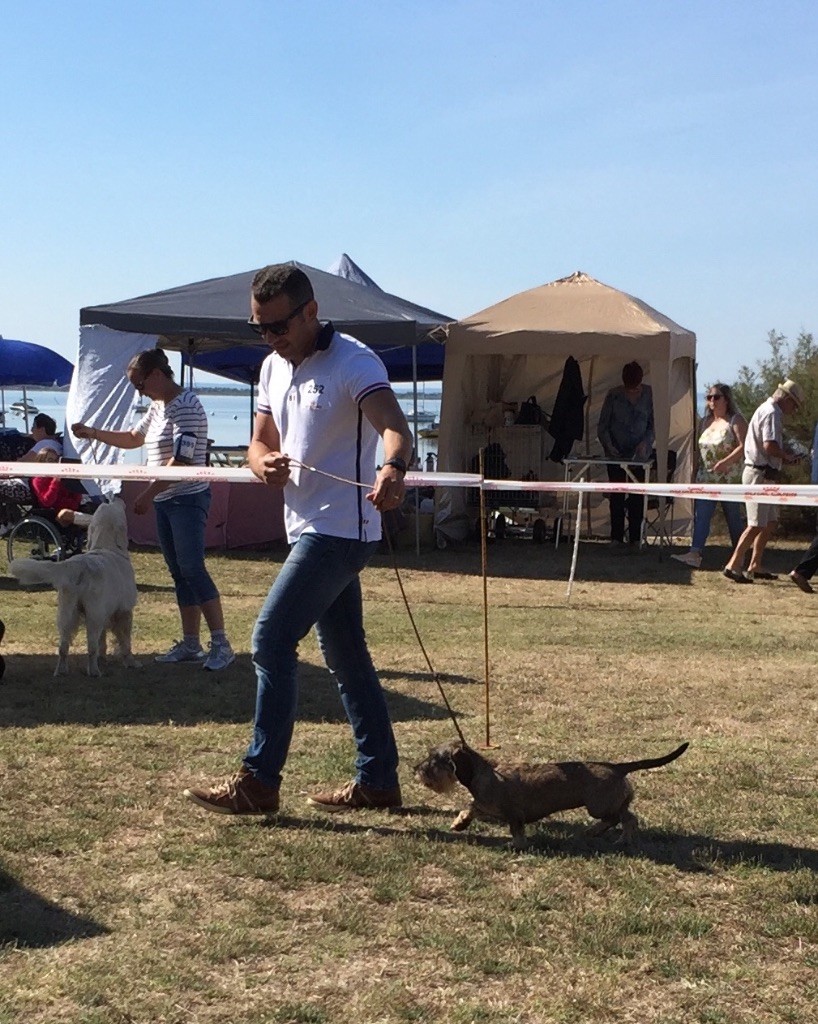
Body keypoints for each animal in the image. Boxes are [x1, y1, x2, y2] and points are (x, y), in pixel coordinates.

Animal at [9, 497, 139, 675]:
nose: (115, 497)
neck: (106, 546)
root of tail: (78, 565)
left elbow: (103, 640)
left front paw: (104, 658)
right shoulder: (124, 612)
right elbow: (125, 641)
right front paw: (130, 662)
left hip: (67, 613)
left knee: (63, 647)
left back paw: (61, 671)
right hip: (93, 614)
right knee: (90, 647)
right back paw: (94, 672)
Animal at [415, 741, 692, 851]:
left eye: (435, 759)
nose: (416, 769)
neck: (487, 772)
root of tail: (617, 767)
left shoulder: (514, 815)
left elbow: (517, 833)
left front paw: (514, 845)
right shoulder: (485, 806)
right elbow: (470, 807)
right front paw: (459, 823)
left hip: (598, 806)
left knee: (623, 818)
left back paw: (610, 836)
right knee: (625, 817)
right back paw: (606, 835)